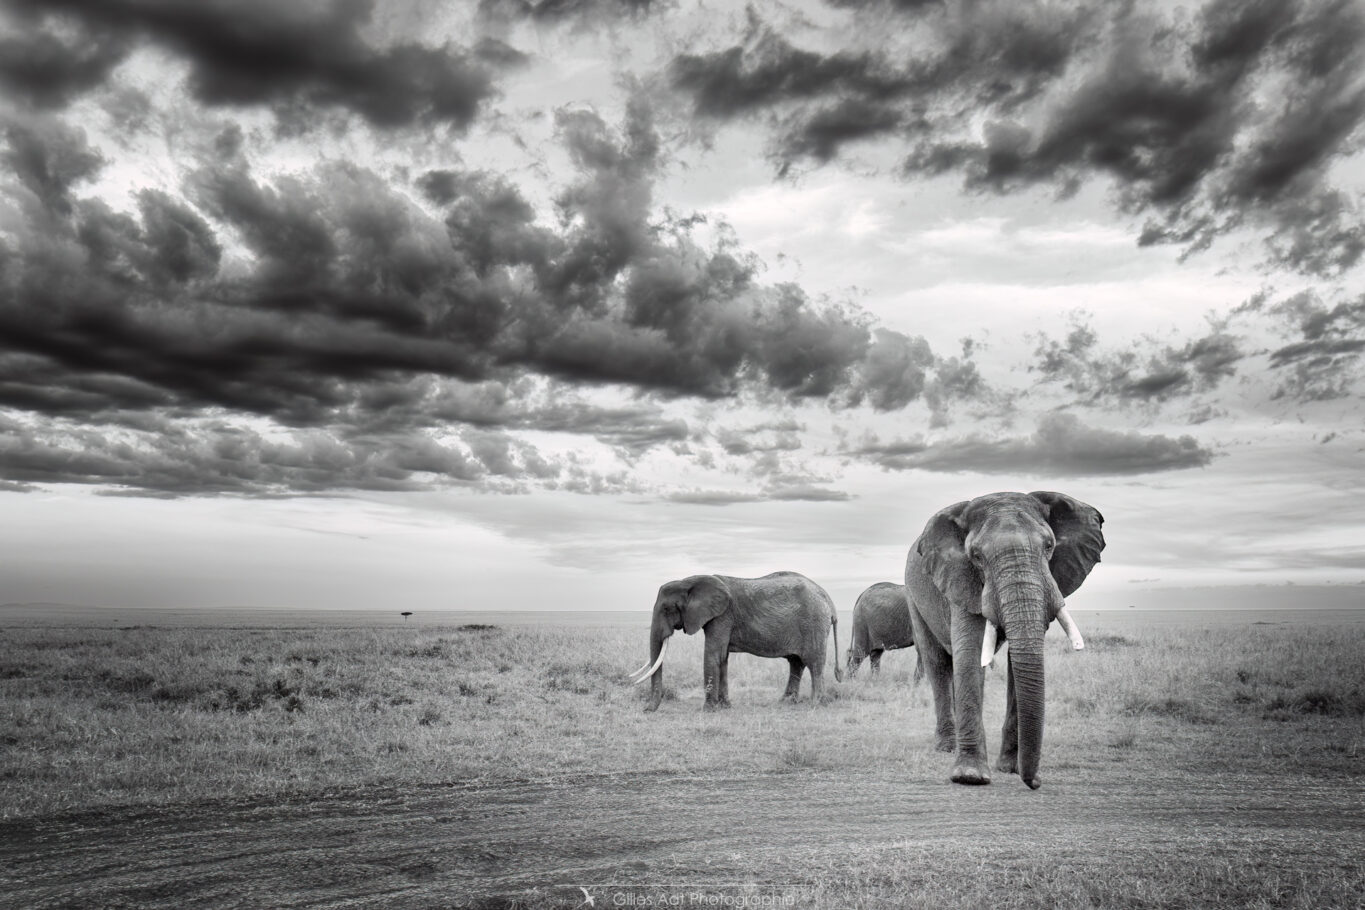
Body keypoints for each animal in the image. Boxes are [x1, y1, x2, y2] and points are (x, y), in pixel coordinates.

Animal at [630, 573, 840, 714]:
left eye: (667, 609)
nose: (646, 710)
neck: (689, 581)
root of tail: (828, 598)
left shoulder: (722, 616)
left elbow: (713, 655)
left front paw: (708, 710)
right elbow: (722, 658)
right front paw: (724, 707)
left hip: (813, 623)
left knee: (814, 663)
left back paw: (815, 704)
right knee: (796, 663)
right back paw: (786, 702)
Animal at [906, 491, 1108, 791]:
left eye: (1049, 546)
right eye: (976, 556)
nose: (1035, 781)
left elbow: (1018, 659)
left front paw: (1010, 769)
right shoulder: (961, 578)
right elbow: (971, 651)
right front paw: (970, 776)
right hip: (913, 596)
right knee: (938, 663)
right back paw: (946, 747)